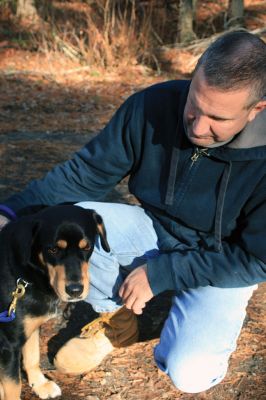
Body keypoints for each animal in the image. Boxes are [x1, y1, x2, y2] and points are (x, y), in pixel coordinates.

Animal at [0, 205, 109, 398]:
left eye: (87, 246)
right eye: (52, 250)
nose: (75, 290)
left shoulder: (31, 325)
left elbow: (32, 357)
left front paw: (40, 385)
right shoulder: (9, 343)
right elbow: (13, 387)